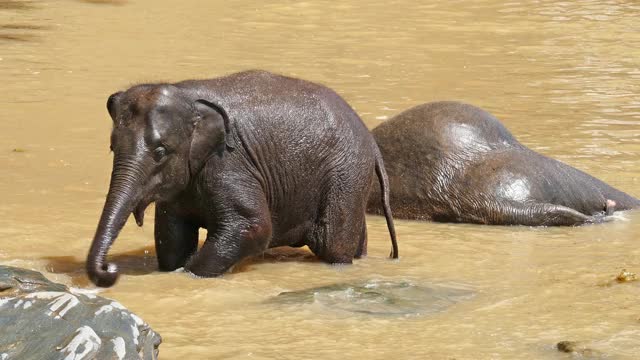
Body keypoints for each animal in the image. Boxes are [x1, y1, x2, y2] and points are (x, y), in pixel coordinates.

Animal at [85, 71, 396, 290]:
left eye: (160, 152)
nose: (111, 270)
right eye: (112, 147)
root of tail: (371, 141)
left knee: (333, 244)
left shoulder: (230, 163)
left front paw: (185, 275)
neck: (188, 96)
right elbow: (172, 236)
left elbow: (253, 227)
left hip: (346, 173)